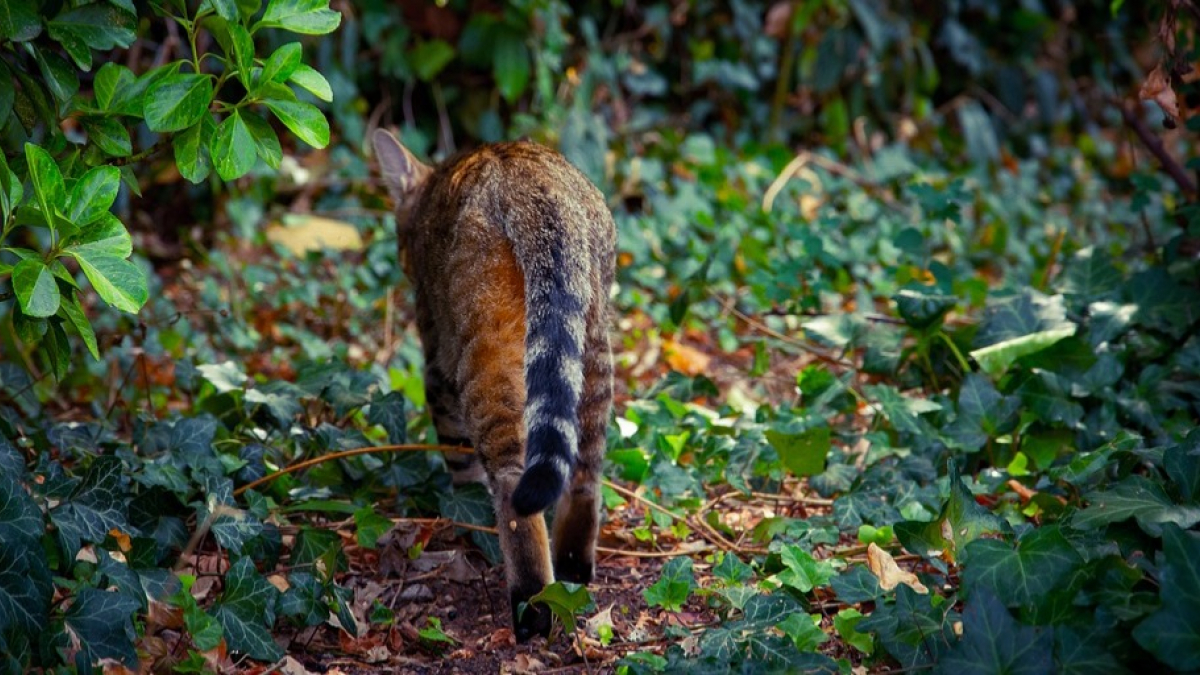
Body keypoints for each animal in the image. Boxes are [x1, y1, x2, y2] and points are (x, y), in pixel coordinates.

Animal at [372, 128, 619, 638]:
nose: (402, 256)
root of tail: (531, 183)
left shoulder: (436, 360)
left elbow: (458, 458)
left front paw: (465, 515)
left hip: (485, 351)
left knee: (511, 484)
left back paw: (533, 606)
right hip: (590, 336)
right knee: (585, 470)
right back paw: (572, 566)